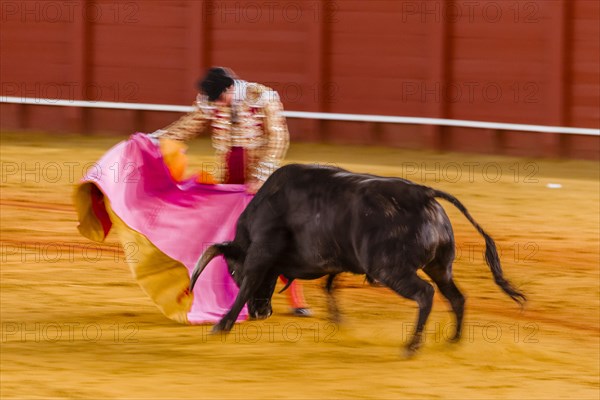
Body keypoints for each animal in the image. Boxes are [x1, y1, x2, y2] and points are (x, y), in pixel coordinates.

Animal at [189, 162, 524, 354]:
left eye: (232, 272)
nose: (261, 314)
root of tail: (424, 194)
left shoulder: (262, 251)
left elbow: (250, 282)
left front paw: (222, 324)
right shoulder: (337, 259)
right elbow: (329, 285)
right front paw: (338, 320)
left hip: (392, 269)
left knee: (426, 294)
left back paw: (412, 345)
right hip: (440, 266)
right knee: (456, 297)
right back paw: (453, 341)